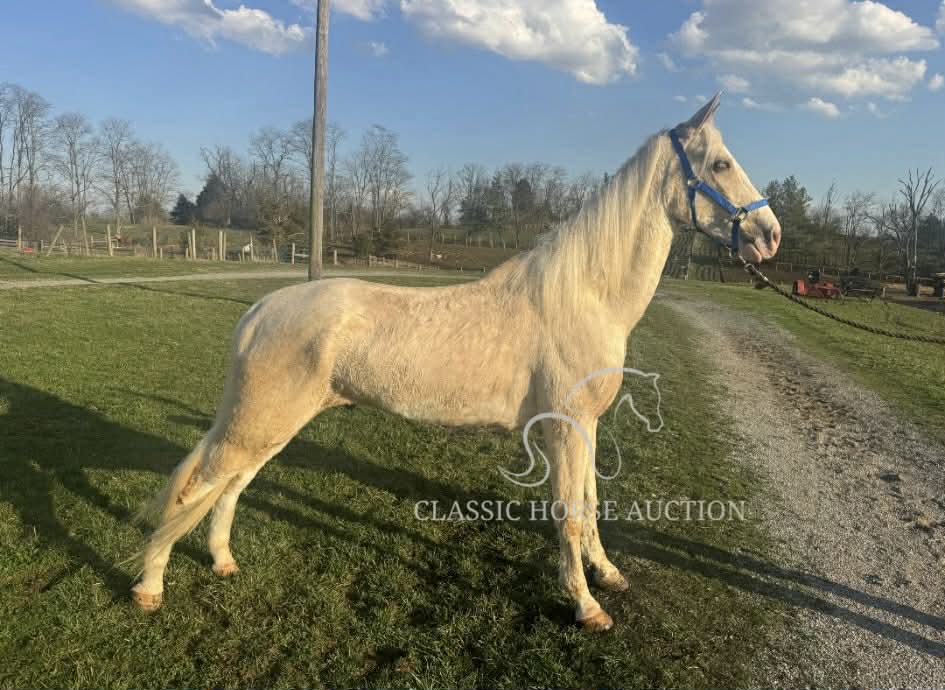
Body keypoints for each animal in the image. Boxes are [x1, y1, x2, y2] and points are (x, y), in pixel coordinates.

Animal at [130, 94, 781, 632]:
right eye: (720, 165)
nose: (770, 235)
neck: (583, 295)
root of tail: (262, 309)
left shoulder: (585, 427)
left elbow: (591, 505)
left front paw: (608, 575)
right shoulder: (564, 428)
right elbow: (570, 513)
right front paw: (586, 606)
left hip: (272, 426)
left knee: (231, 486)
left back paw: (223, 562)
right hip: (258, 423)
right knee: (195, 489)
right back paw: (149, 589)